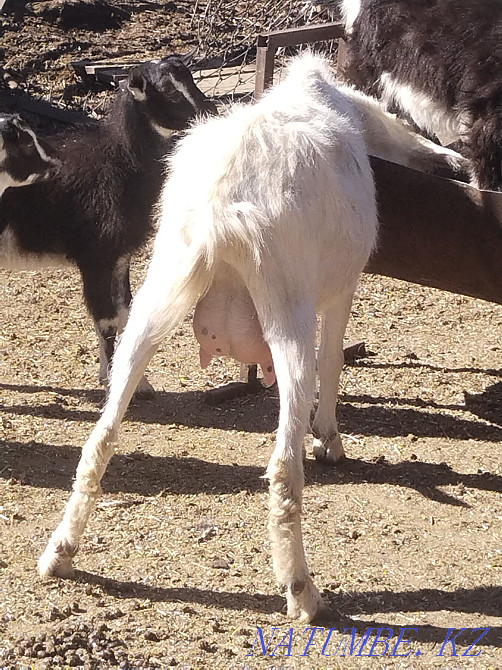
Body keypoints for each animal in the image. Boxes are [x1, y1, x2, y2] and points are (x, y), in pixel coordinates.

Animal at [0, 56, 215, 393]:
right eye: (168, 90)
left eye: (191, 77)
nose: (210, 111)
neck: (120, 163)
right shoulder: (96, 257)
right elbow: (106, 319)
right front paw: (114, 382)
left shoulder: (120, 258)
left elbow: (124, 313)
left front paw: (138, 383)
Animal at [38, 54, 466, 622]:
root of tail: (222, 212)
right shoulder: (343, 287)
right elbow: (334, 362)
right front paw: (329, 439)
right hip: (287, 305)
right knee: (284, 462)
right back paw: (302, 590)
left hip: (159, 288)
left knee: (101, 434)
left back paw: (59, 552)